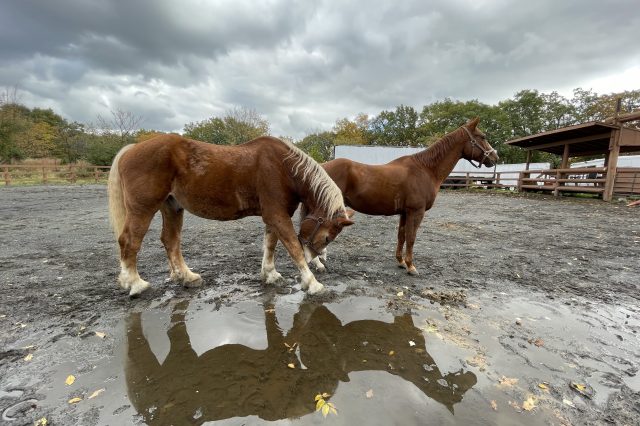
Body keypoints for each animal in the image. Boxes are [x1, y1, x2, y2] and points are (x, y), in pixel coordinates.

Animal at [107, 136, 352, 296]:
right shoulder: (277, 215)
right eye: (327, 237)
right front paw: (312, 283)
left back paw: (187, 277)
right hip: (143, 209)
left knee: (170, 241)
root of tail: (132, 149)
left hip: (172, 207)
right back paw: (134, 283)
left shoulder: (273, 215)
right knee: (129, 241)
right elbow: (293, 247)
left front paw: (270, 274)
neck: (284, 167)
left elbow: (270, 245)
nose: (316, 261)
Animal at [312, 118, 498, 274]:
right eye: (482, 136)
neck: (425, 169)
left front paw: (400, 262)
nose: (495, 157)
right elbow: (411, 237)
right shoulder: (416, 211)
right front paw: (410, 266)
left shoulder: (404, 212)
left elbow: (401, 235)